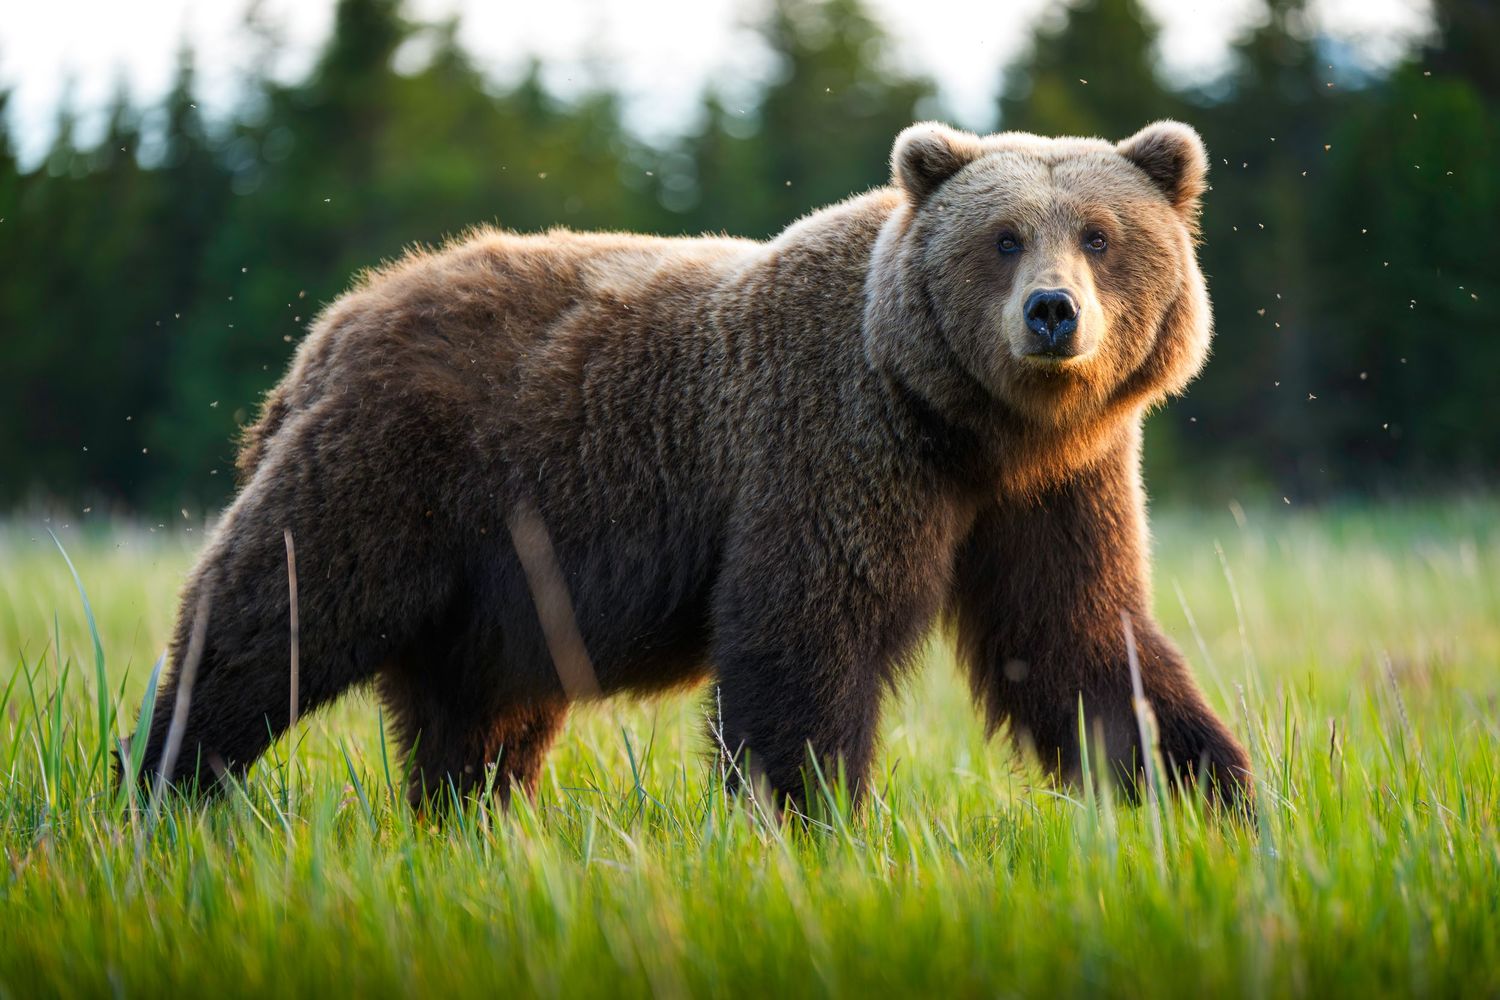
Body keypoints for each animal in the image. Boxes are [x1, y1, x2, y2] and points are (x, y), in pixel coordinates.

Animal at [130, 120, 1253, 815]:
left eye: (1100, 235)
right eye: (1005, 236)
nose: (1052, 313)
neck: (973, 429)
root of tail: (335, 322)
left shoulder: (1058, 488)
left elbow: (1079, 643)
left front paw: (1215, 794)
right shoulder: (833, 442)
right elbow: (802, 636)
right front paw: (805, 818)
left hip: (504, 579)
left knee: (478, 712)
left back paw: (469, 817)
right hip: (398, 467)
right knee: (273, 615)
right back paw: (167, 780)